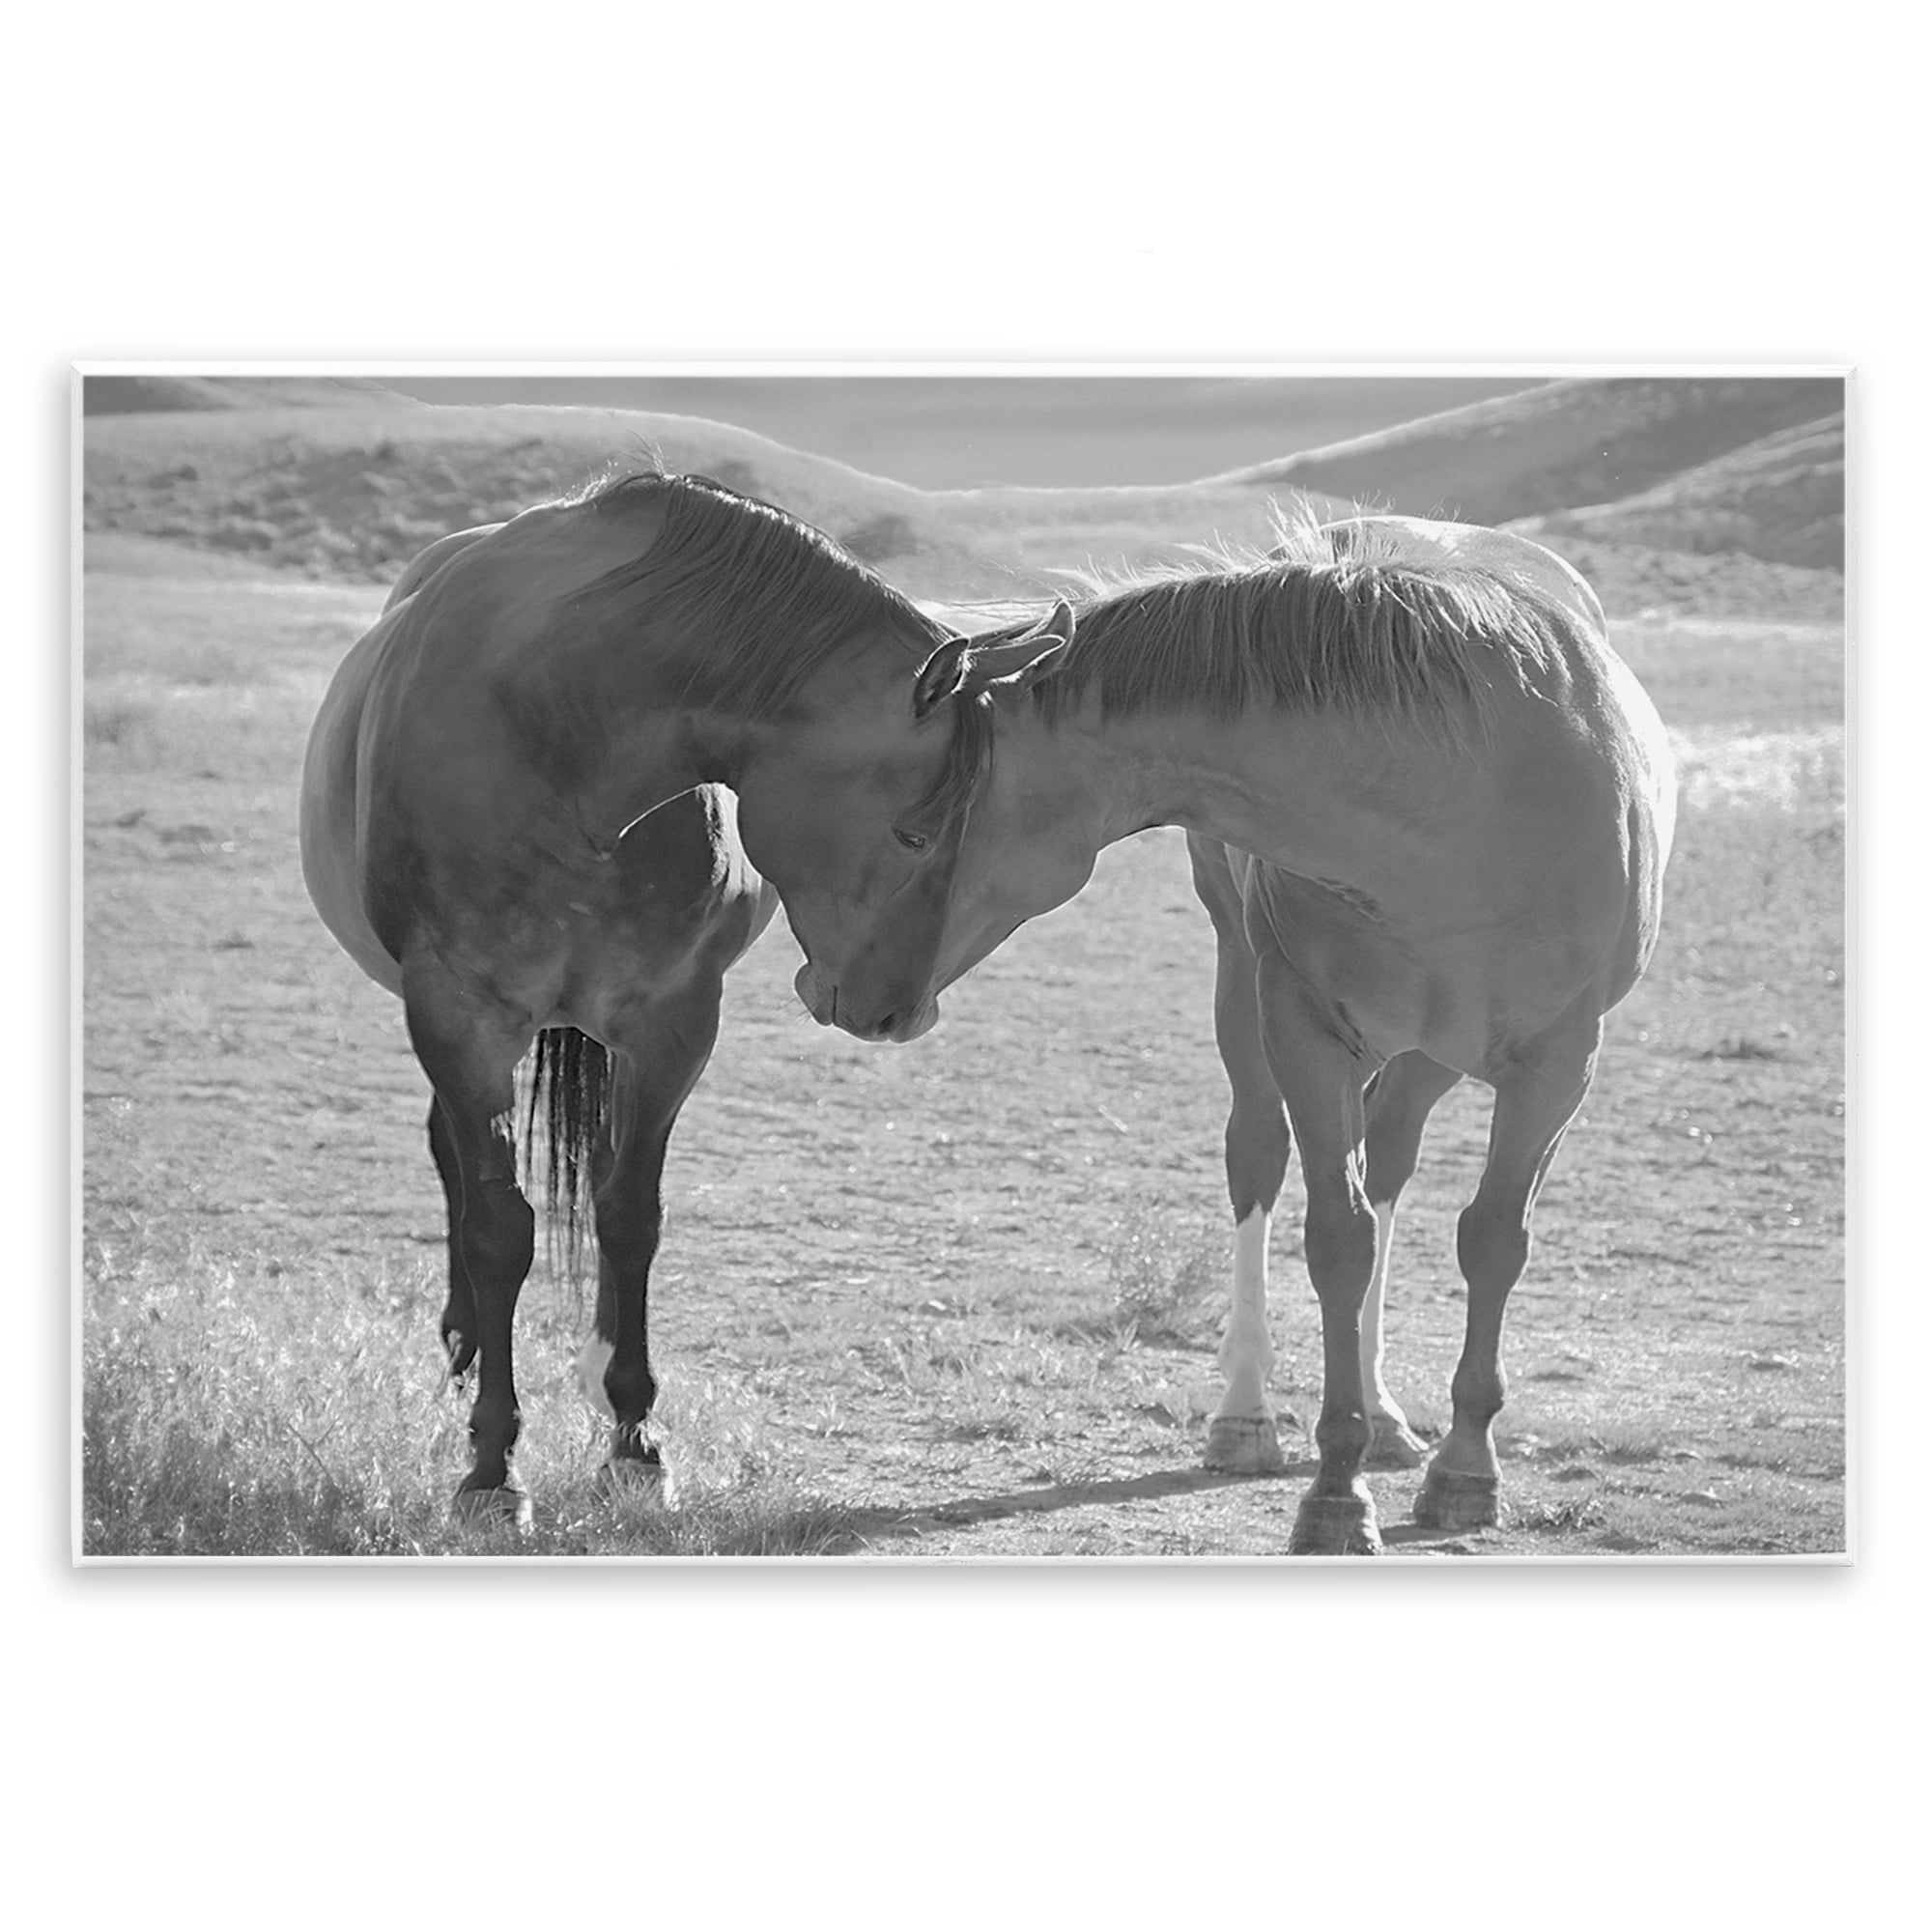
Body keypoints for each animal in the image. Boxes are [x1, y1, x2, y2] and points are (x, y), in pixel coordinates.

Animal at [299, 467, 1027, 1526]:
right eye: (916, 830)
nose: (898, 1011)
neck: (558, 733)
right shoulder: (458, 1016)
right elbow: (498, 1228)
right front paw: (492, 1464)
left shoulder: (671, 1021)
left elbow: (628, 1215)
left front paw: (634, 1439)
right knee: (453, 1164)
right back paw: (464, 1338)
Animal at [795, 511, 1677, 1555]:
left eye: (913, 829)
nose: (830, 990)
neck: (1463, 796)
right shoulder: (1302, 1029)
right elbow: (1336, 1240)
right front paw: (1334, 1492)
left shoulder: (1557, 1064)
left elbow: (1492, 1240)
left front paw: (1465, 1469)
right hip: (1246, 986)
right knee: (1259, 1155)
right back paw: (1248, 1413)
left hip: (1430, 1051)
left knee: (1390, 1162)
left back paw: (1386, 1414)